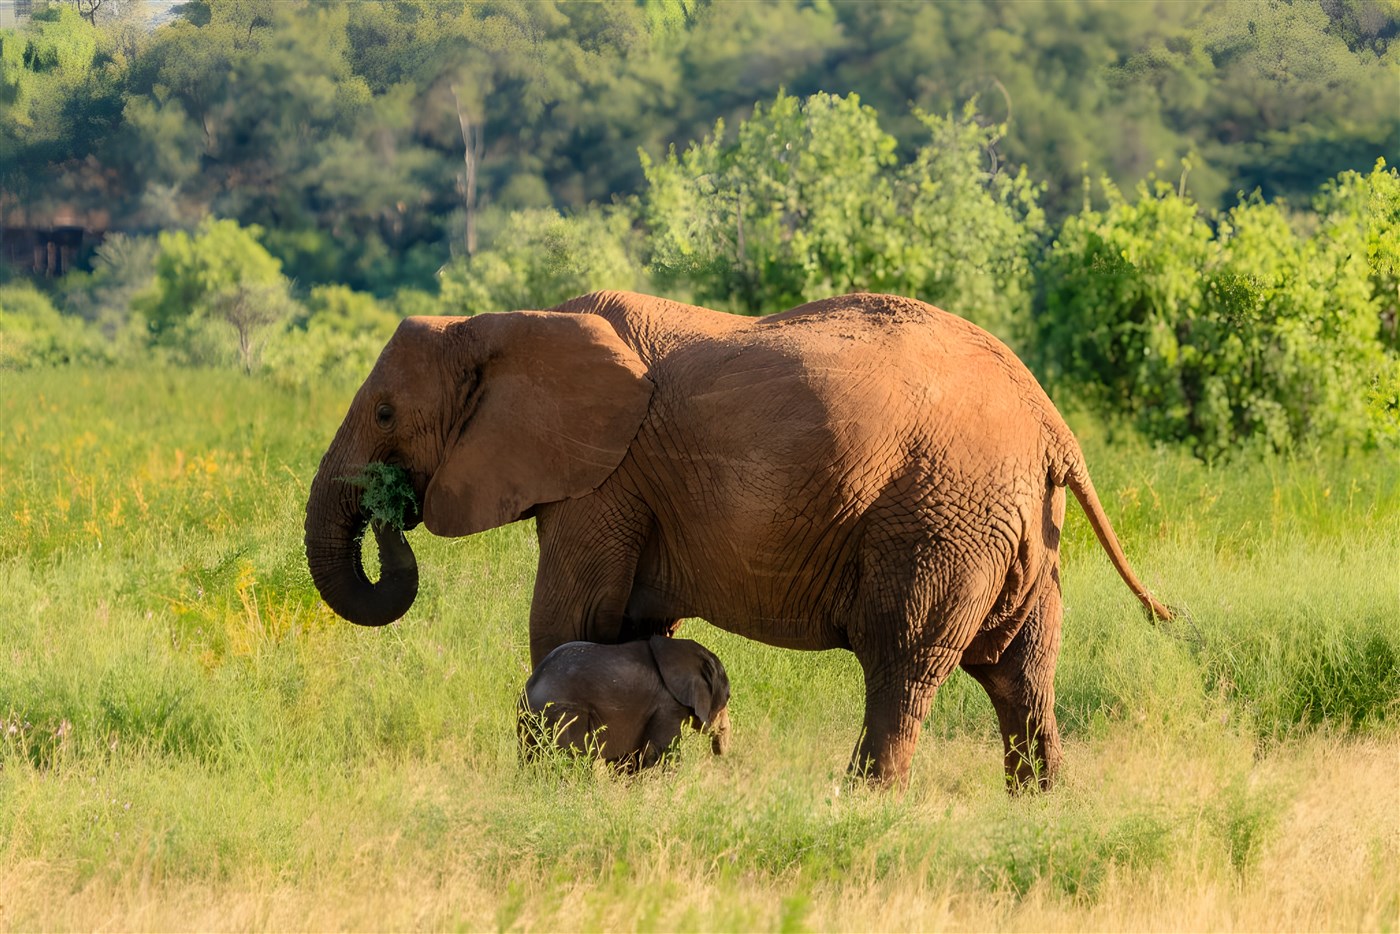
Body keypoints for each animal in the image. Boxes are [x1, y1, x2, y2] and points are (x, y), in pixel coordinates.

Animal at [518, 635, 732, 769]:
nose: (720, 755)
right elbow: (662, 751)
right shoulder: (667, 705)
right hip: (563, 714)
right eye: (727, 696)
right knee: (574, 758)